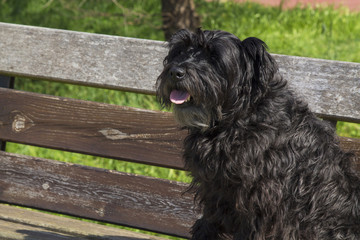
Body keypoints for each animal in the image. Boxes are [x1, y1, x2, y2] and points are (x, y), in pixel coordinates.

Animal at [156, 29, 358, 239]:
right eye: (180, 51)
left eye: (214, 57)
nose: (175, 72)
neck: (237, 119)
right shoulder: (215, 191)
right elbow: (210, 221)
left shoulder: (262, 203)